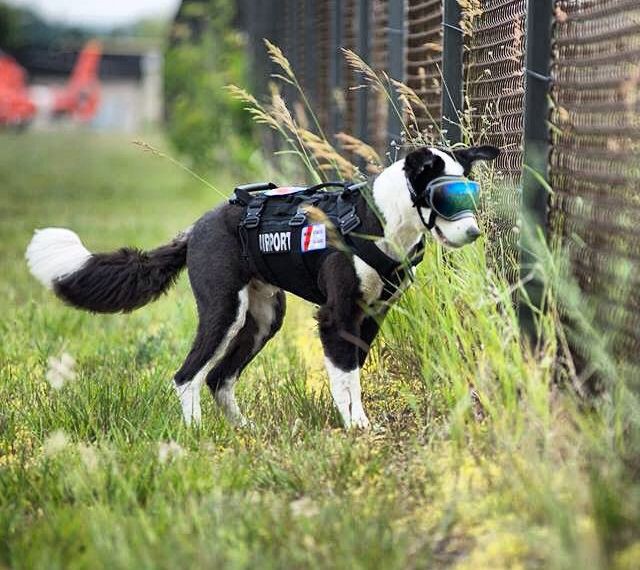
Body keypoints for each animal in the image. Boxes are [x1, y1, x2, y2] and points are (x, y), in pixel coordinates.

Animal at [26, 146, 500, 426]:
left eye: (469, 194)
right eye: (443, 196)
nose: (475, 232)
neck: (381, 220)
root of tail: (195, 229)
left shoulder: (371, 317)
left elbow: (353, 374)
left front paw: (357, 421)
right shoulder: (336, 316)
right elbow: (345, 378)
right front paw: (356, 427)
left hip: (264, 319)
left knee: (219, 377)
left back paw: (241, 431)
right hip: (224, 311)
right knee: (187, 376)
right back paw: (195, 434)